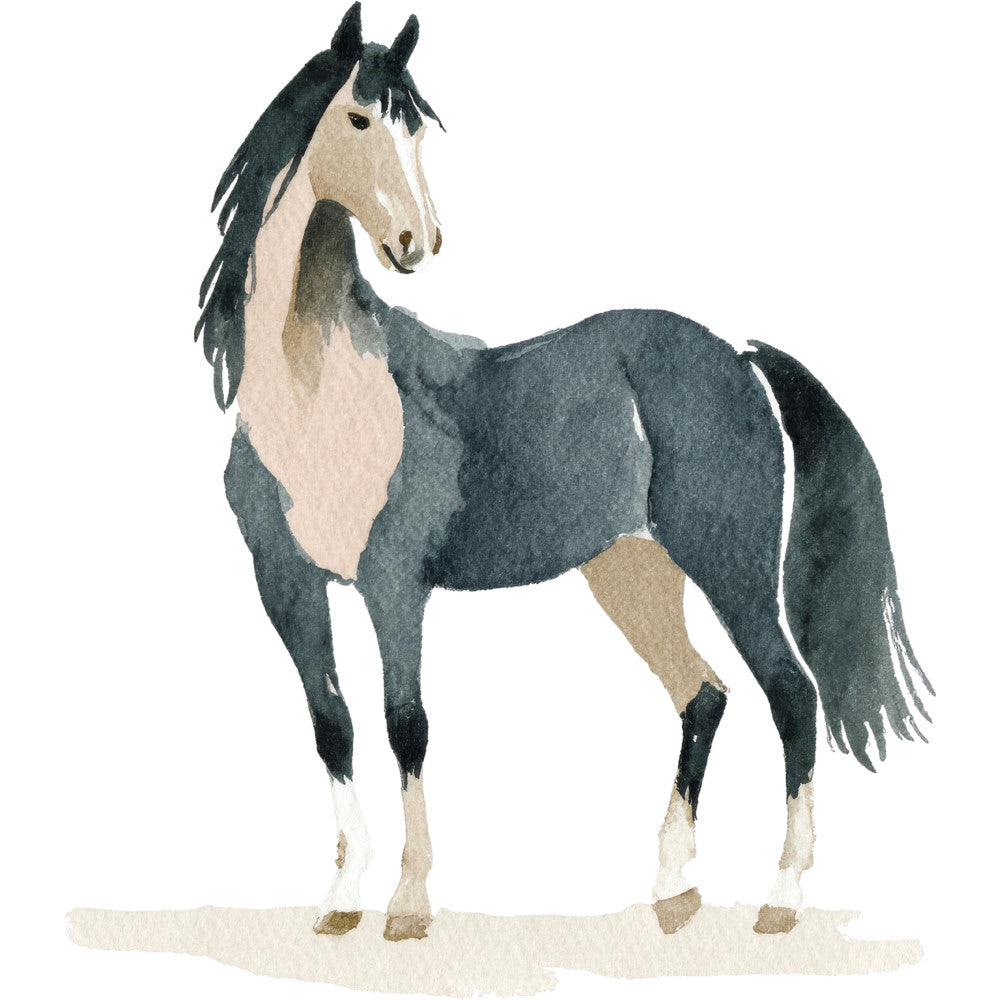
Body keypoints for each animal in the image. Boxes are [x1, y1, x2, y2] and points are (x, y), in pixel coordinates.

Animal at [196, 3, 932, 942]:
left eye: (417, 127)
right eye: (358, 120)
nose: (417, 243)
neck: (317, 393)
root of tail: (736, 356)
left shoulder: (393, 584)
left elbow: (406, 725)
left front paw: (408, 904)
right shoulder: (286, 584)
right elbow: (334, 727)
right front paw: (341, 899)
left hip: (726, 568)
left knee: (791, 696)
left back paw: (781, 897)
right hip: (632, 571)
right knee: (703, 694)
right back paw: (672, 888)